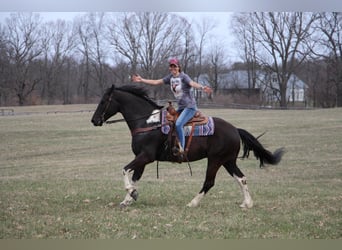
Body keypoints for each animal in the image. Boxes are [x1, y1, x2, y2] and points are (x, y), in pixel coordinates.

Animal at [90, 85, 284, 208]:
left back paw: (193, 202)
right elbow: (135, 177)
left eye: (103, 101)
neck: (148, 122)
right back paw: (247, 203)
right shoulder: (142, 159)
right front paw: (128, 199)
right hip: (228, 161)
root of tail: (235, 129)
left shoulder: (145, 156)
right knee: (241, 178)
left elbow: (124, 170)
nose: (94, 120)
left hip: (215, 160)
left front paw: (131, 193)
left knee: (209, 182)